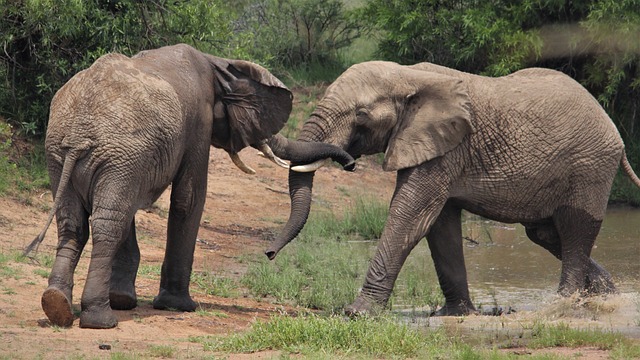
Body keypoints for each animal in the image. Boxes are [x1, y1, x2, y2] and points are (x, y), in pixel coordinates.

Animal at [23, 43, 356, 330]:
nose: (269, 254)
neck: (218, 65)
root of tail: (78, 134)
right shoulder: (199, 120)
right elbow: (189, 198)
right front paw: (179, 306)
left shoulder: (134, 162)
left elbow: (134, 207)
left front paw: (124, 300)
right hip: (109, 153)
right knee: (107, 226)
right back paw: (100, 321)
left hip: (65, 155)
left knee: (77, 224)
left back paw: (57, 305)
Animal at [264, 60, 640, 316]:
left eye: (361, 115)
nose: (268, 254)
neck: (408, 76)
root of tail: (615, 132)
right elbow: (439, 225)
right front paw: (456, 314)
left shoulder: (448, 148)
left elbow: (410, 214)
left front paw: (358, 312)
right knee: (545, 234)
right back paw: (608, 296)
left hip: (590, 166)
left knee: (575, 229)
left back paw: (562, 305)